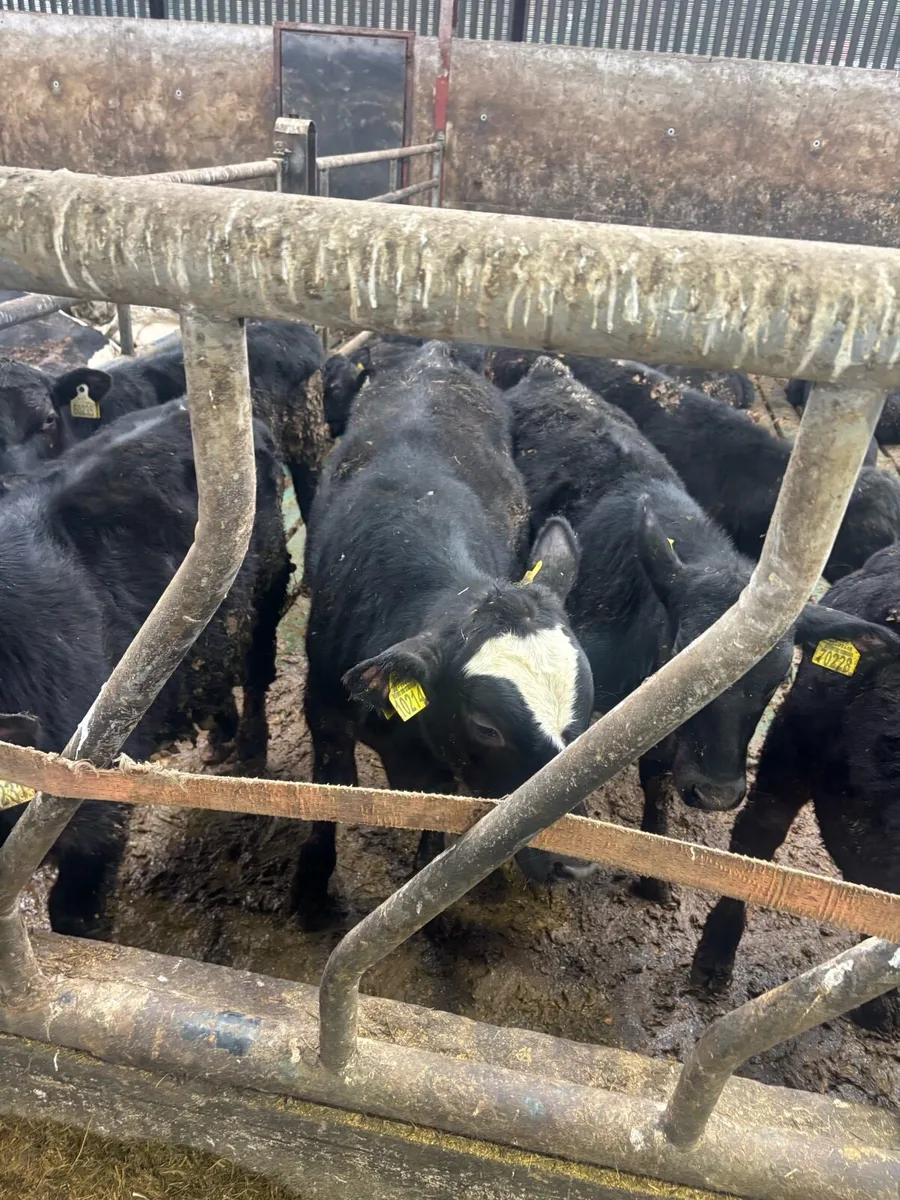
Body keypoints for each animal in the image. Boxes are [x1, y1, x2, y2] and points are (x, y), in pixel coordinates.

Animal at [0, 399, 291, 938]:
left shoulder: (92, 807)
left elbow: (74, 911)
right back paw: (219, 741)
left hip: (266, 590)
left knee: (257, 673)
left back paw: (250, 752)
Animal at [296, 342, 594, 924]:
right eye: (486, 726)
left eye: (589, 712)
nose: (575, 862)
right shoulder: (324, 712)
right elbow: (328, 795)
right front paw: (312, 892)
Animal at [503, 356, 854, 904]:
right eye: (679, 655)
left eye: (780, 680)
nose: (716, 795)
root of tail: (548, 368)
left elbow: (658, 777)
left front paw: (653, 872)